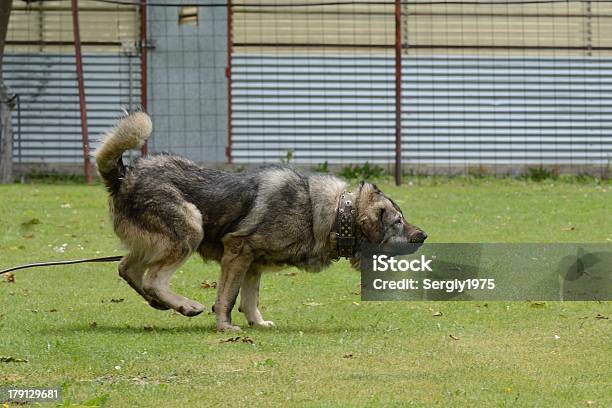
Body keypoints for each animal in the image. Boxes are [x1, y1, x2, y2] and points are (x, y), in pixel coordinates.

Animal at [95, 111, 428, 332]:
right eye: (398, 222)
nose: (424, 235)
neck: (332, 214)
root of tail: (125, 176)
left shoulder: (252, 262)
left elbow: (249, 298)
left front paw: (257, 322)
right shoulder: (238, 251)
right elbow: (227, 298)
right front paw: (225, 327)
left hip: (157, 241)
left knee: (127, 268)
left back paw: (161, 303)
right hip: (190, 227)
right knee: (153, 278)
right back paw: (185, 305)